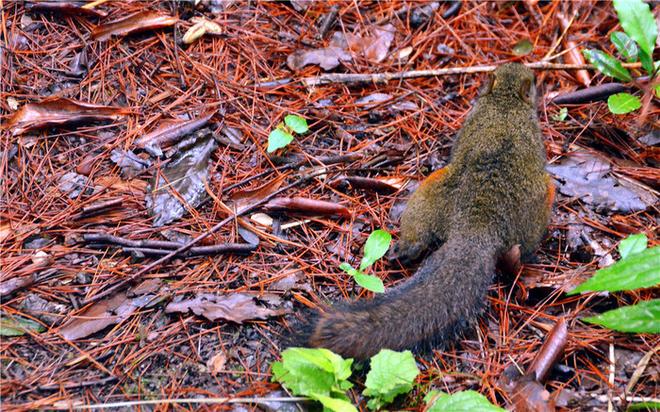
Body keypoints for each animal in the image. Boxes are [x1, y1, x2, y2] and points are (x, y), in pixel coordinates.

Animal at [298, 62, 552, 358]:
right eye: (532, 82)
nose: (537, 81)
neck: (505, 100)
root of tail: (477, 226)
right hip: (539, 206)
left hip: (428, 196)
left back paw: (407, 248)